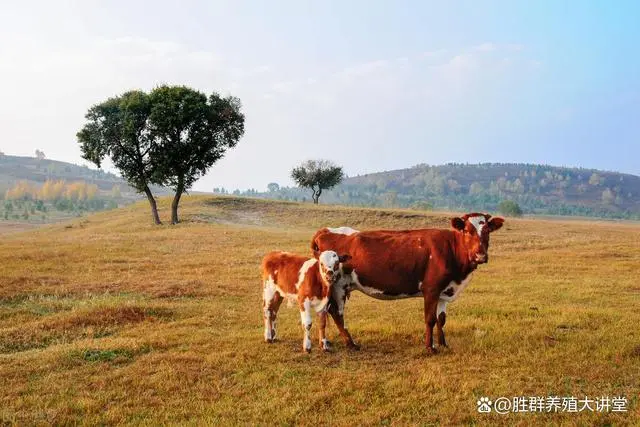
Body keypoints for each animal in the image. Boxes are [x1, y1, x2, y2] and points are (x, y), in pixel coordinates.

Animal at [310, 213, 504, 354]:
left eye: (487, 231)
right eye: (467, 231)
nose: (480, 255)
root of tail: (325, 231)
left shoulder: (444, 290)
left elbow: (441, 319)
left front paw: (443, 344)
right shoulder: (431, 289)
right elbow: (430, 319)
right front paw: (430, 347)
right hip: (337, 285)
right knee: (336, 313)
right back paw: (350, 344)